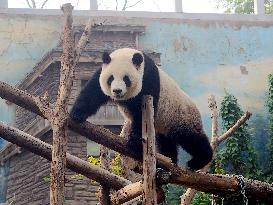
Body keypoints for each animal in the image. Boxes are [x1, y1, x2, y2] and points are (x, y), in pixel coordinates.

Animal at [70, 47, 212, 170]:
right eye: (111, 78)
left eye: (126, 79)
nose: (117, 91)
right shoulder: (101, 72)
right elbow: (93, 93)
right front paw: (76, 114)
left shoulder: (148, 80)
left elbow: (141, 116)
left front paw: (134, 144)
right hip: (164, 124)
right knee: (166, 142)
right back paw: (168, 161)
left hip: (181, 116)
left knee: (191, 138)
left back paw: (198, 161)